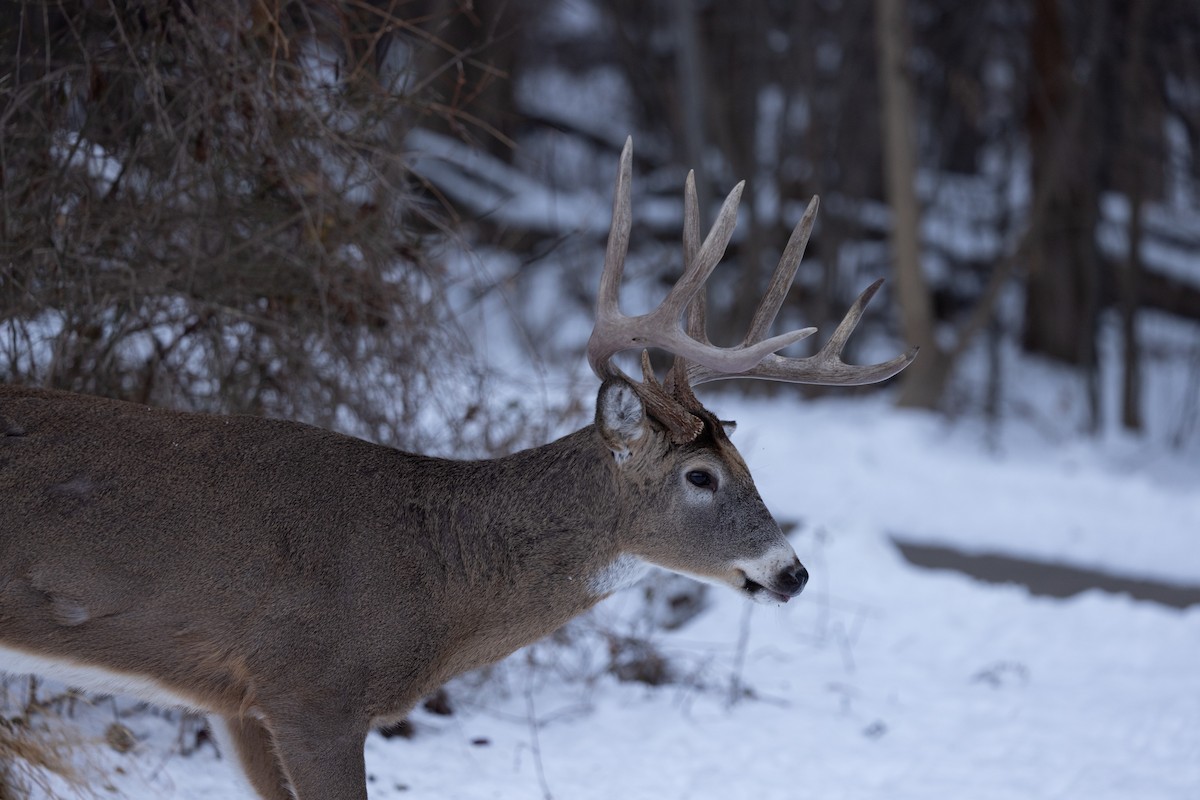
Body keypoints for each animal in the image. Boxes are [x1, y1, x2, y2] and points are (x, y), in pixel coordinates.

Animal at [0, 138, 915, 799]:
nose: (792, 572)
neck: (433, 577)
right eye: (701, 478)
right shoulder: (312, 692)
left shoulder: (236, 702)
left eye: (744, 460)